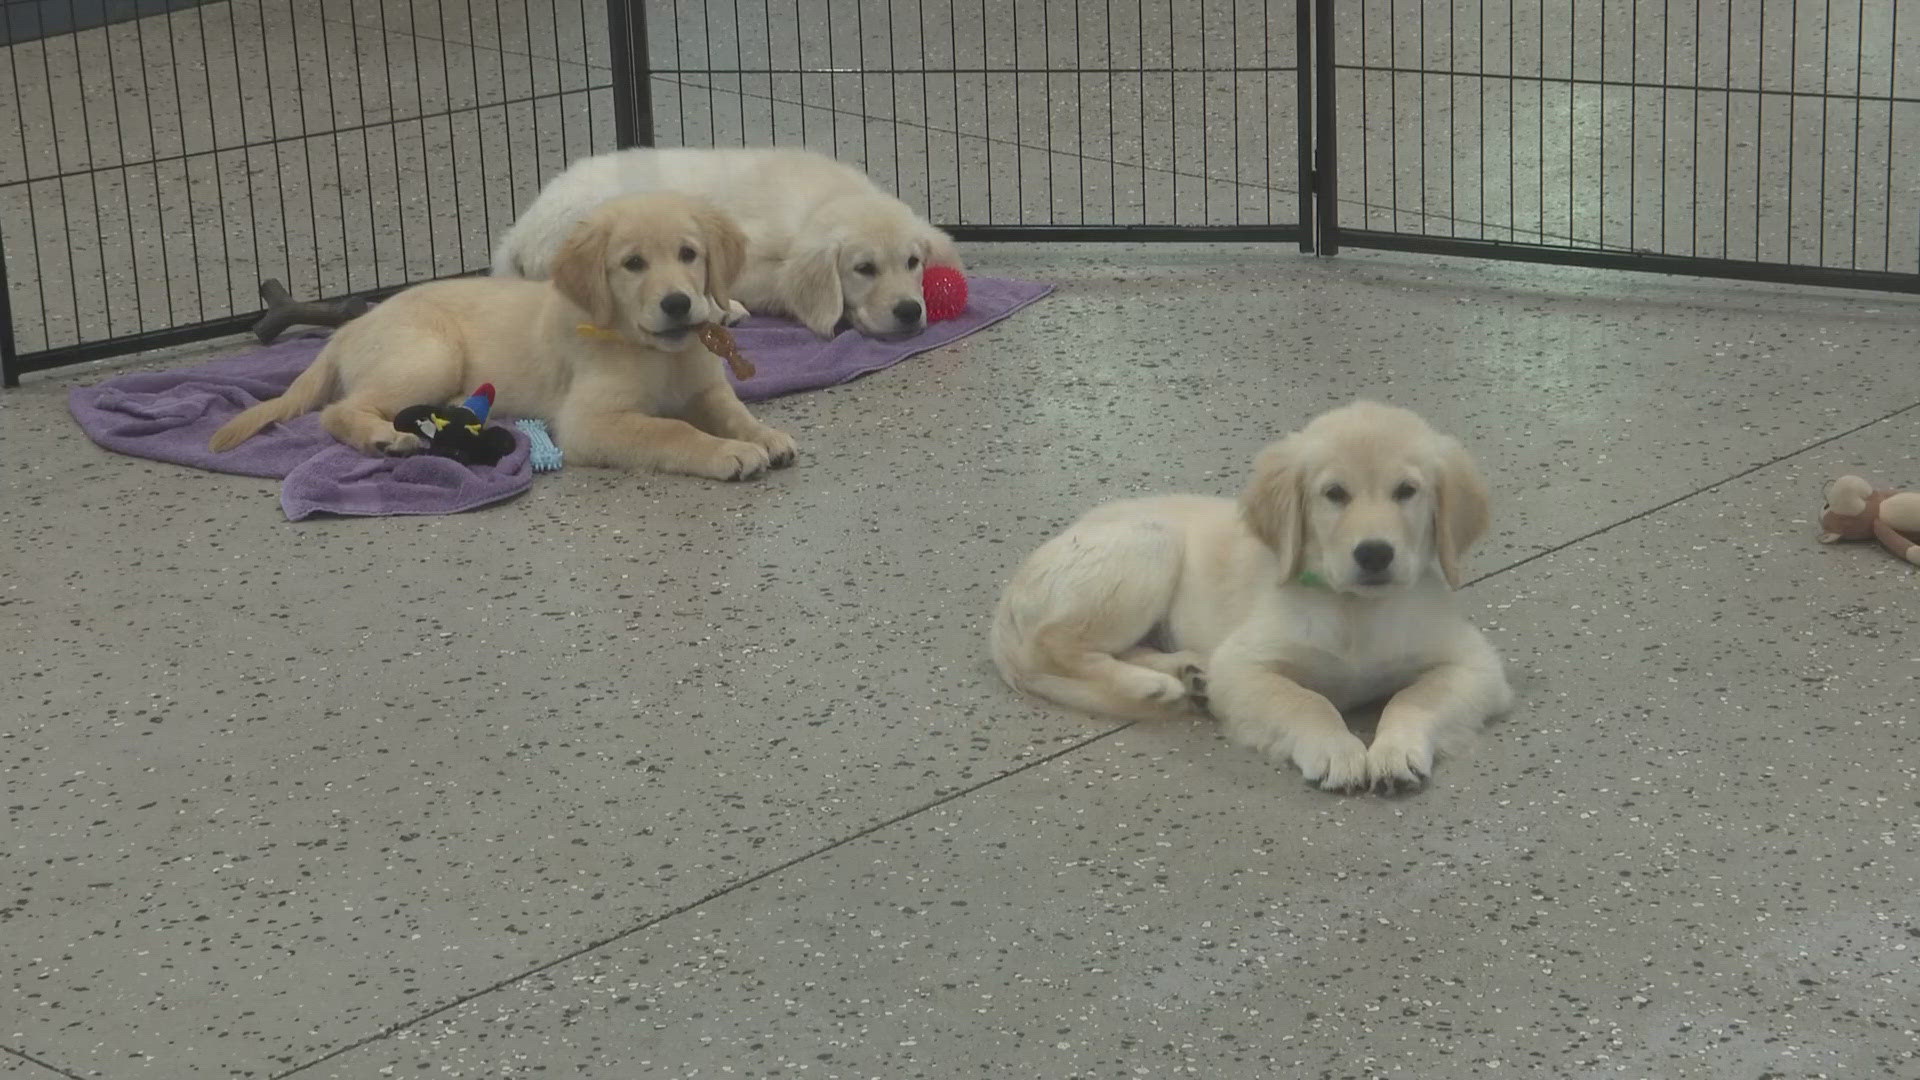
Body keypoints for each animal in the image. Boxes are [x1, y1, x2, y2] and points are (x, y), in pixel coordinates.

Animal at [214, 192, 798, 478]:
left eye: (688, 254)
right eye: (633, 264)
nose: (678, 303)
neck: (655, 352)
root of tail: (351, 326)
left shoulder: (706, 389)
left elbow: (734, 412)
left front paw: (765, 436)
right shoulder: (591, 422)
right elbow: (671, 432)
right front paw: (728, 453)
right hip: (430, 353)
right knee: (337, 410)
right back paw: (383, 437)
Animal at [491, 145, 960, 334]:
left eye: (913, 263)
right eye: (864, 269)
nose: (909, 311)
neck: (822, 200)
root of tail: (521, 231)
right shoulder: (746, 257)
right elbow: (778, 282)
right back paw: (722, 311)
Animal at [990, 401, 1512, 791]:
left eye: (1406, 491)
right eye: (1334, 493)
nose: (1374, 554)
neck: (1353, 608)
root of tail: (1006, 599)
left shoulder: (1475, 664)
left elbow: (1414, 696)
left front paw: (1395, 750)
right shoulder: (1244, 665)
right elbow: (1304, 700)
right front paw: (1337, 749)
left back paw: (1186, 673)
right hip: (1150, 542)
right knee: (1055, 645)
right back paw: (1151, 686)